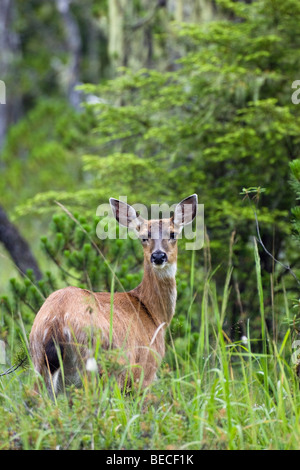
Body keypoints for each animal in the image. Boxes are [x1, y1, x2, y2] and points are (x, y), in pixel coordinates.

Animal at [29, 195, 198, 396]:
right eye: (143, 237)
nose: (158, 256)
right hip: (98, 362)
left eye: (173, 234)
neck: (154, 315)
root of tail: (56, 320)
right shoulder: (146, 369)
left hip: (40, 362)